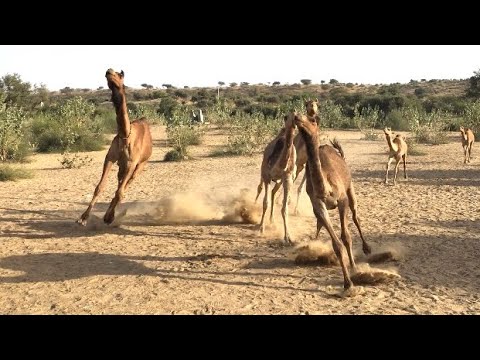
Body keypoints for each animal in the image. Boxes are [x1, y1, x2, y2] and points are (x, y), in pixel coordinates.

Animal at [77, 69, 152, 226]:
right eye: (109, 74)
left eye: (120, 74)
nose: (109, 71)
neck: (125, 135)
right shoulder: (110, 158)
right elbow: (99, 187)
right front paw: (83, 218)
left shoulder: (132, 163)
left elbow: (119, 192)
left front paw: (108, 217)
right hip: (122, 166)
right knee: (119, 183)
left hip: (141, 164)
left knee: (125, 185)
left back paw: (110, 216)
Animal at [255, 112, 296, 245]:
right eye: (287, 117)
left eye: (297, 116)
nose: (294, 123)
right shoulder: (267, 176)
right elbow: (265, 203)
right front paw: (261, 228)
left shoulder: (287, 179)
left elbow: (284, 208)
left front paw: (288, 237)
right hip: (263, 172)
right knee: (260, 187)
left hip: (279, 181)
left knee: (273, 192)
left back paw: (271, 220)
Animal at [292, 112, 372, 290]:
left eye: (312, 119)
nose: (296, 116)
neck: (325, 187)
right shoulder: (318, 204)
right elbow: (336, 244)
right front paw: (347, 283)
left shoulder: (342, 200)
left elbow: (346, 237)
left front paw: (354, 268)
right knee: (319, 223)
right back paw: (311, 247)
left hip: (350, 189)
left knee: (356, 215)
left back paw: (367, 248)